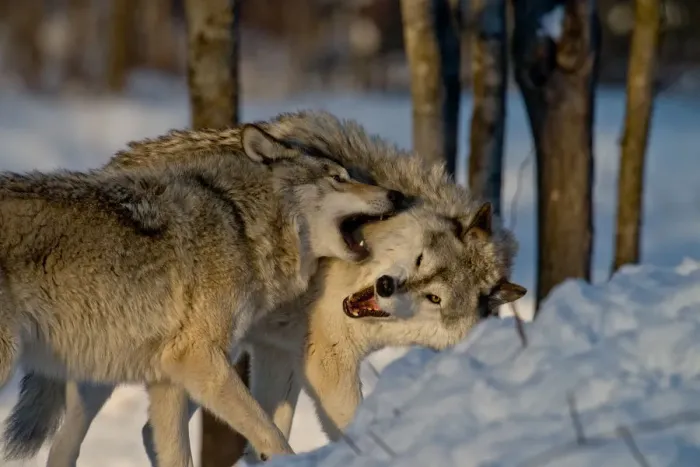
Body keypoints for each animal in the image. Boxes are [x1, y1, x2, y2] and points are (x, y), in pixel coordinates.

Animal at [3, 111, 525, 466]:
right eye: (419, 260)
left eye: (435, 298)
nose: (385, 285)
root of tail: (119, 160)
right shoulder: (322, 360)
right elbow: (314, 427)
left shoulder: (280, 353)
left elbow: (271, 427)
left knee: (110, 438)